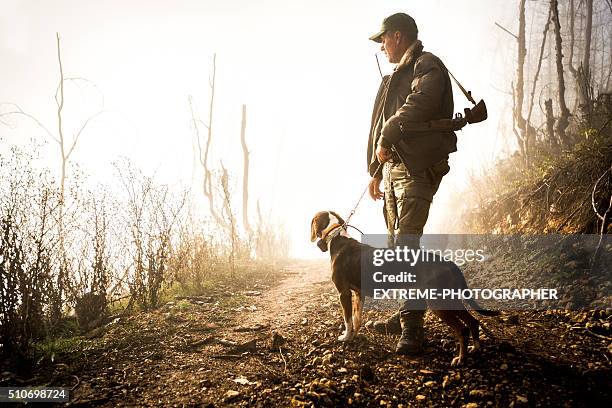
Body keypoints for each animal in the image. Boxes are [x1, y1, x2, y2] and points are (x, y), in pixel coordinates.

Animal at [310, 210, 498, 366]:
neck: (337, 237)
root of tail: (450, 263)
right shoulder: (358, 293)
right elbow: (357, 319)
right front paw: (355, 334)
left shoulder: (344, 293)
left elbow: (347, 319)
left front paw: (346, 337)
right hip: (450, 299)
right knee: (473, 321)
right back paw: (476, 348)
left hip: (439, 303)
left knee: (463, 329)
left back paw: (461, 359)